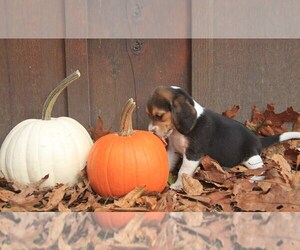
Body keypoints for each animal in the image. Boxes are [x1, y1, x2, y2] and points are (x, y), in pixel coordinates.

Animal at [146, 86, 300, 189]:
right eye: (149, 115)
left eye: (159, 116)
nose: (151, 132)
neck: (178, 132)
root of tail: (258, 140)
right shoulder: (172, 149)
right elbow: (168, 162)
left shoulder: (192, 154)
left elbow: (183, 172)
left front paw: (177, 185)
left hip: (251, 158)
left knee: (262, 168)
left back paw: (253, 178)